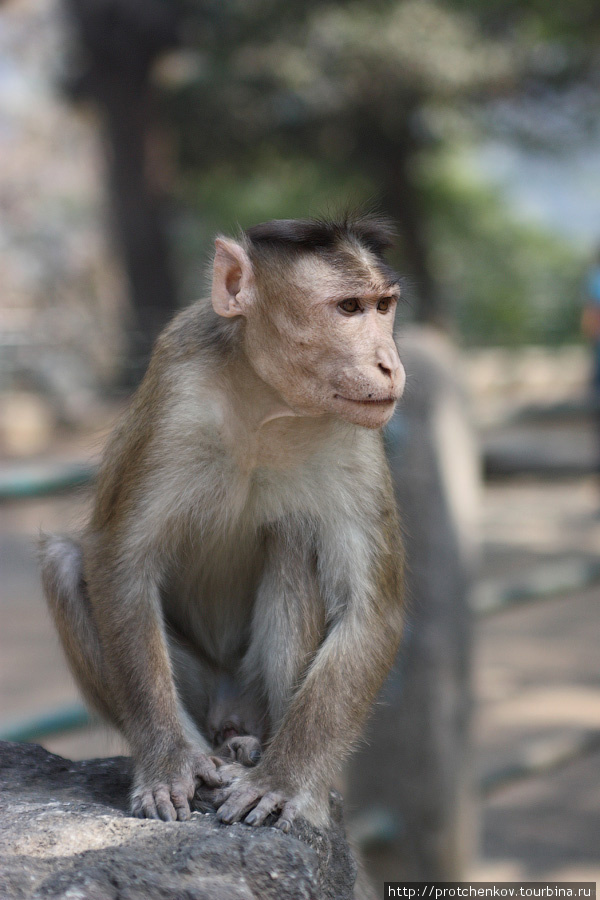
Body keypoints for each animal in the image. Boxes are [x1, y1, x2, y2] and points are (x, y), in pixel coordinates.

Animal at [39, 214, 406, 832]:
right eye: (349, 307)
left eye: (384, 307)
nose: (390, 365)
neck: (266, 402)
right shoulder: (177, 390)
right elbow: (120, 562)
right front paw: (169, 764)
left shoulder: (356, 435)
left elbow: (369, 610)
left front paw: (285, 782)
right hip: (200, 686)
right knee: (65, 564)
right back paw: (208, 749)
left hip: (253, 688)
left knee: (294, 539)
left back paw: (254, 749)